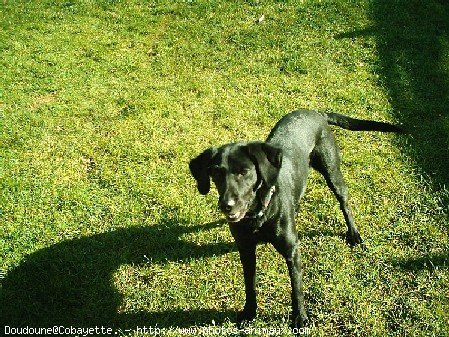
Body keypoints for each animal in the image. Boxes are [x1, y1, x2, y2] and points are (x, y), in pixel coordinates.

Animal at [187, 109, 400, 328]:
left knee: (344, 203)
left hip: (332, 171)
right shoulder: (246, 250)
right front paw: (249, 312)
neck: (259, 215)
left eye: (244, 172)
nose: (226, 205)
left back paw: (354, 233)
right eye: (215, 173)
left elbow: (296, 287)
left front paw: (300, 317)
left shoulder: (292, 251)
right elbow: (250, 284)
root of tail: (316, 111)